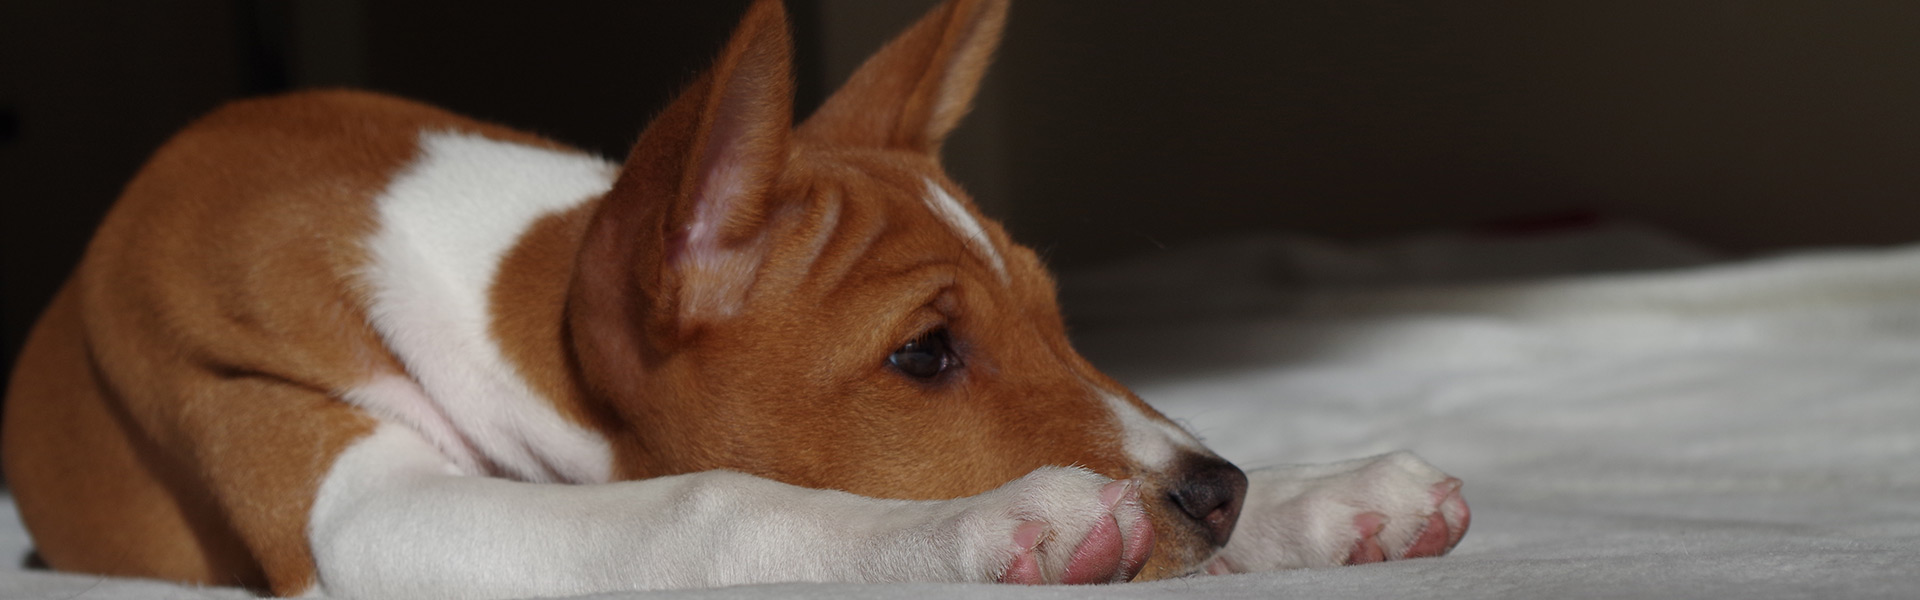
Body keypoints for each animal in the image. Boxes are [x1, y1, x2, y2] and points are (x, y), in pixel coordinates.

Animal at [2, 0, 1468, 597]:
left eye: (1059, 319)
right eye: (925, 354)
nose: (1220, 493)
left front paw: (1321, 496)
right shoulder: (349, 504)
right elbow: (701, 506)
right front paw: (996, 526)